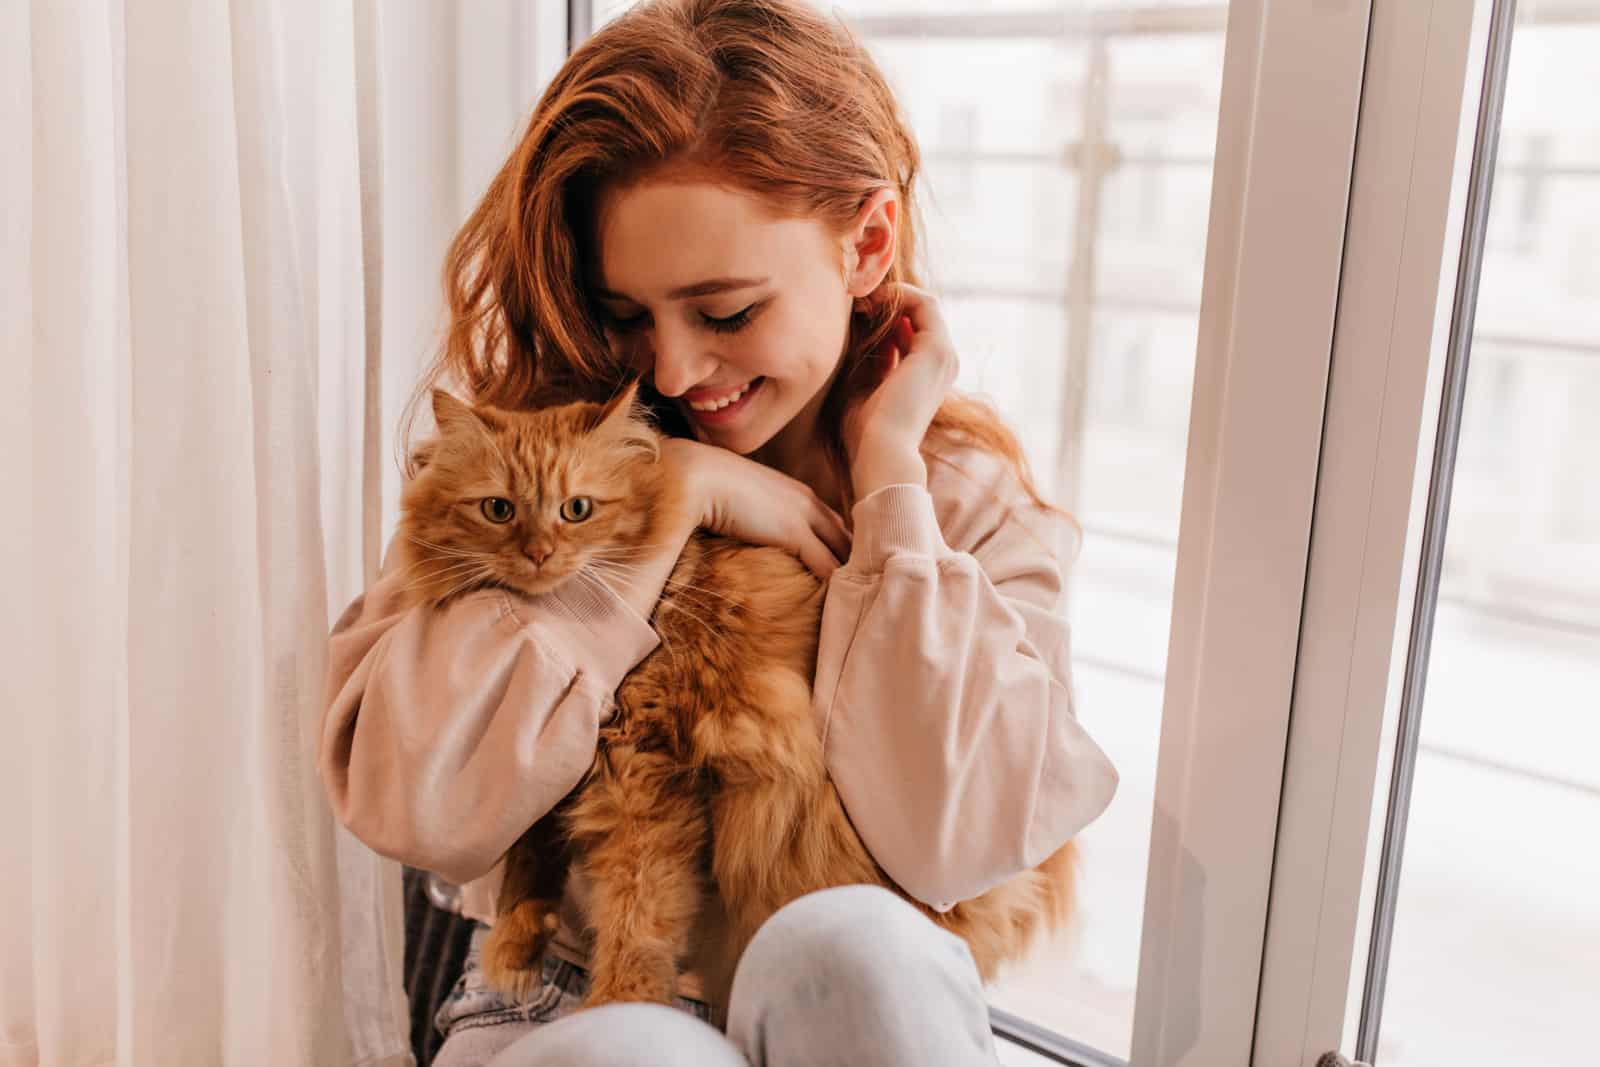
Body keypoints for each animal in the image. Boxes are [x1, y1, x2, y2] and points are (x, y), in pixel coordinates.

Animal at [393, 388, 1081, 1017]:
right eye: (498, 509)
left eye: (576, 509)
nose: (537, 553)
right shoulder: (568, 757)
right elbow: (528, 849)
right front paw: (513, 947)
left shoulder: (643, 774)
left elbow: (638, 919)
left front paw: (618, 1005)